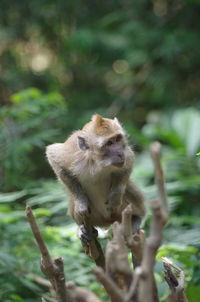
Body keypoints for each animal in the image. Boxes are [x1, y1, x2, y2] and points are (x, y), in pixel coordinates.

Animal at [46, 114, 145, 242]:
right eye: (109, 143)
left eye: (118, 139)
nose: (120, 153)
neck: (98, 162)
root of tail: (109, 221)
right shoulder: (72, 154)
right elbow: (53, 156)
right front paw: (81, 202)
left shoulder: (125, 154)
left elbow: (129, 160)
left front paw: (115, 196)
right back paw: (82, 228)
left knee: (128, 189)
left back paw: (136, 218)